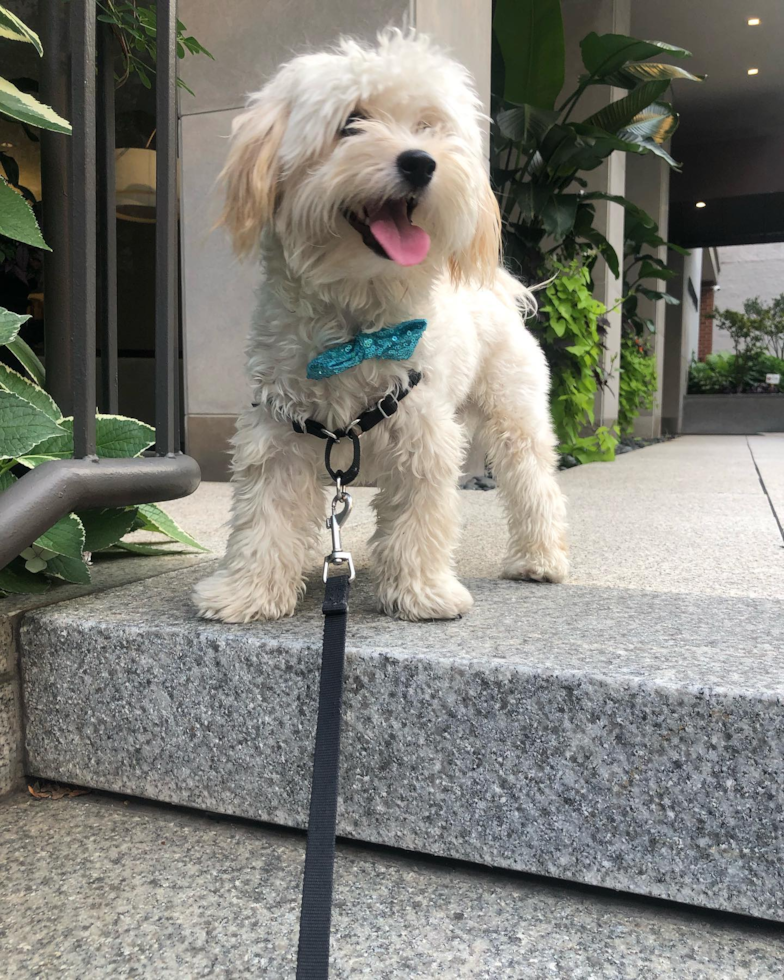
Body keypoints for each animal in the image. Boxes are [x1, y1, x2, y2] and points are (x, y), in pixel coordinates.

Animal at [193, 36, 568, 628]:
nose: (421, 161)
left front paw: (422, 594)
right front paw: (247, 592)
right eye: (352, 122)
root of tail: (499, 290)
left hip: (513, 410)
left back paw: (541, 559)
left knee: (533, 480)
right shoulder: (277, 429)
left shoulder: (424, 431)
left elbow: (420, 512)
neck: (356, 322)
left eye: (429, 126)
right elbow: (264, 515)